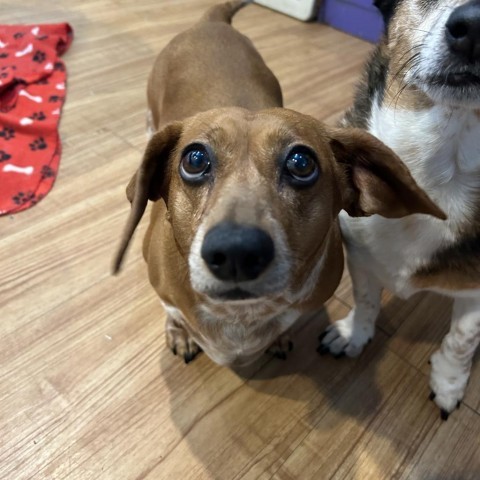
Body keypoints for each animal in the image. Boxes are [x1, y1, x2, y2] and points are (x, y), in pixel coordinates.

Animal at [112, 0, 442, 368]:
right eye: (194, 160)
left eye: (301, 163)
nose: (236, 251)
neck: (241, 317)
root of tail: (211, 21)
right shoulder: (165, 291)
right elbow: (172, 311)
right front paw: (180, 332)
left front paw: (280, 337)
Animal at [318, 0, 480, 418]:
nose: (475, 26)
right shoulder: (360, 256)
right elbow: (366, 300)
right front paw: (354, 334)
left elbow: (461, 340)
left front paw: (448, 382)